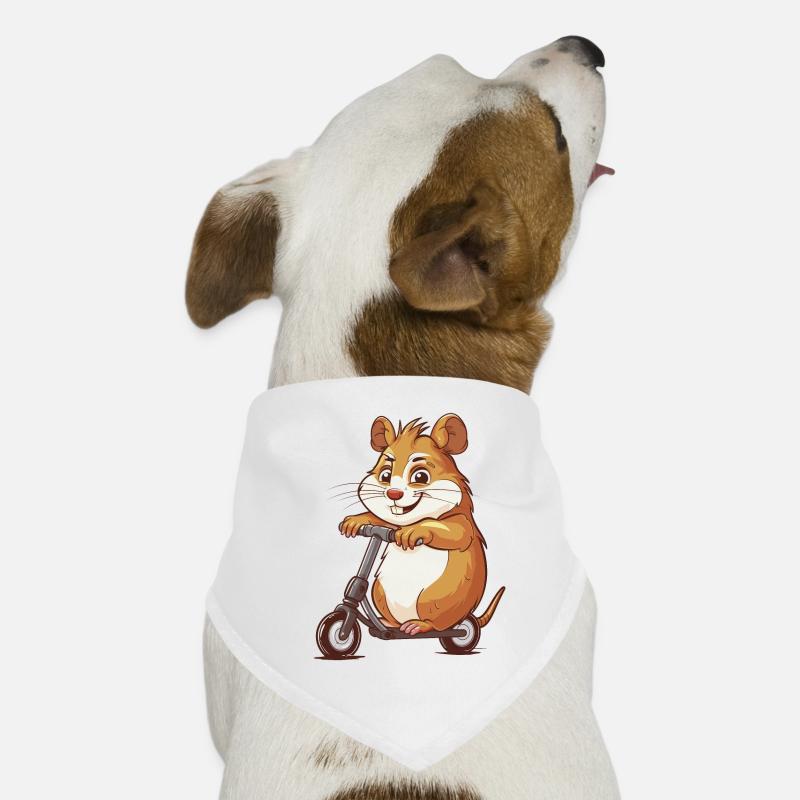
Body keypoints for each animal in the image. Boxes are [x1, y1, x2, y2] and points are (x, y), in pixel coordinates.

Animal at [340, 413, 504, 635]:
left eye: (420, 476)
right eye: (385, 475)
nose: (393, 493)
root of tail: (466, 617)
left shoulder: (462, 523)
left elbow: (455, 532)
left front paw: (413, 532)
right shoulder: (389, 525)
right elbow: (380, 520)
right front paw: (355, 521)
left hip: (435, 600)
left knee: (444, 625)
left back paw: (422, 626)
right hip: (379, 591)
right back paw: (389, 624)